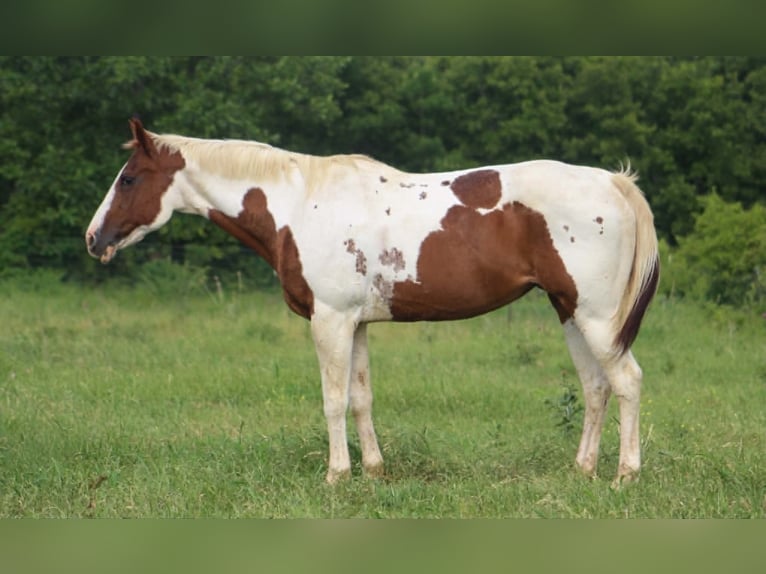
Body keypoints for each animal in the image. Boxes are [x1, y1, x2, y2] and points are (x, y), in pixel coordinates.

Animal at [86, 118, 659, 485]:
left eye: (129, 178)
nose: (94, 239)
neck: (298, 206)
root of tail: (614, 182)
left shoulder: (330, 321)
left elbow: (333, 399)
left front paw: (337, 476)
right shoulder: (356, 324)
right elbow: (361, 397)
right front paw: (374, 471)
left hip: (596, 318)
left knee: (627, 381)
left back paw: (625, 476)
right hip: (569, 312)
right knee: (595, 387)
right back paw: (582, 470)